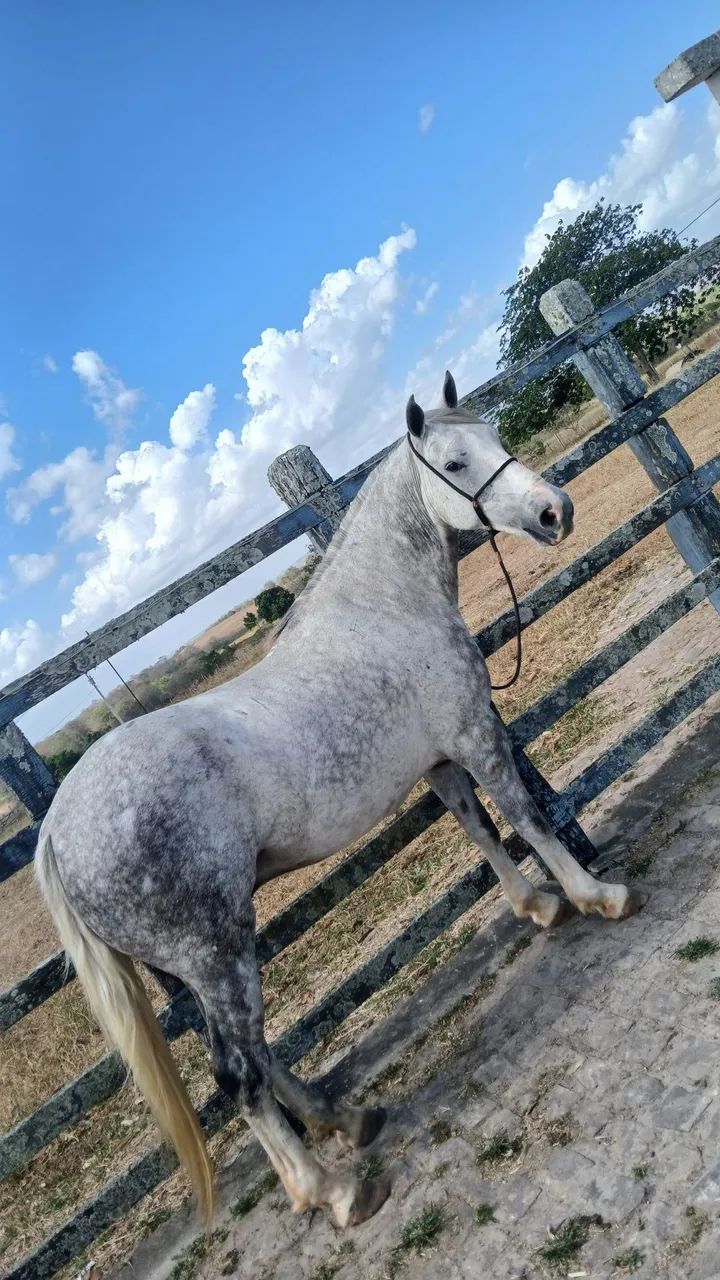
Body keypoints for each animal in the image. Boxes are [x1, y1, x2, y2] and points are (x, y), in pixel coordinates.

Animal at [36, 371, 645, 1232]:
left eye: (494, 435)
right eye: (455, 462)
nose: (554, 511)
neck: (383, 607)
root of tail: (58, 830)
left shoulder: (438, 760)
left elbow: (479, 829)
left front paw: (537, 906)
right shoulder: (474, 734)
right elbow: (526, 817)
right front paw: (596, 895)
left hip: (195, 969)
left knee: (257, 1055)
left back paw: (345, 1117)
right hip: (214, 950)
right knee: (237, 1077)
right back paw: (332, 1189)